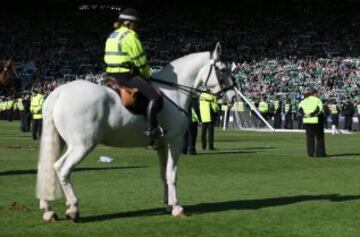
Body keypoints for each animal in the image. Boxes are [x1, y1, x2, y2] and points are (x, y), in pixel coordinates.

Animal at [36, 42, 236, 222]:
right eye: (222, 70)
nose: (233, 97)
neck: (173, 92)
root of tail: (59, 93)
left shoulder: (162, 145)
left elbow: (164, 175)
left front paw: (168, 204)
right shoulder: (175, 142)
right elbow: (172, 174)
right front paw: (177, 207)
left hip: (63, 142)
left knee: (48, 168)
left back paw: (48, 210)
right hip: (82, 145)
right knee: (61, 168)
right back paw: (73, 208)